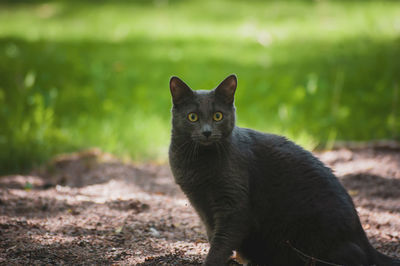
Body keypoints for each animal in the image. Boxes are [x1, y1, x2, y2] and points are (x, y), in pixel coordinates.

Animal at [168, 74, 396, 264]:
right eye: (193, 117)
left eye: (217, 116)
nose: (207, 132)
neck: (198, 162)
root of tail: (363, 238)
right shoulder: (200, 203)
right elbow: (212, 232)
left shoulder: (234, 205)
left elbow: (223, 239)